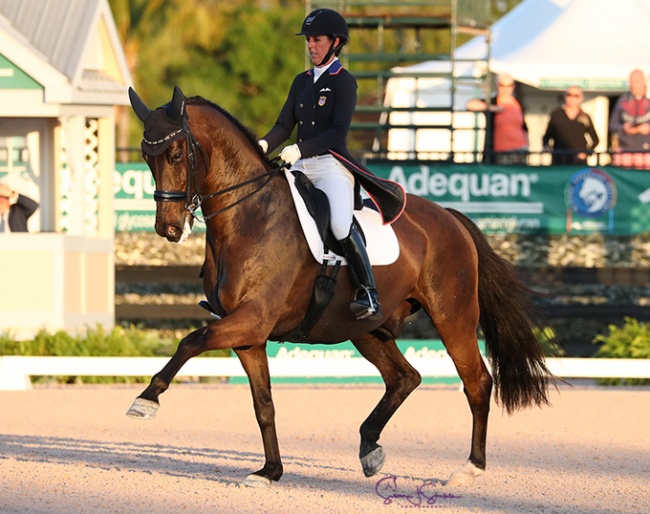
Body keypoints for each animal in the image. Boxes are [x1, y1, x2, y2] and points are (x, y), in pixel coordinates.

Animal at [125, 86, 552, 486]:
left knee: (476, 382)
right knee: (404, 378)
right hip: (365, 329)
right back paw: (369, 448)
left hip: (453, 316)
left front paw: (146, 400)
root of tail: (449, 216)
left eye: (176, 154)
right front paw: (270, 471)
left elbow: (190, 341)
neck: (250, 215)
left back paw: (469, 469)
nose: (168, 228)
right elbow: (264, 404)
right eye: (147, 157)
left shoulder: (251, 319)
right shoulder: (248, 334)